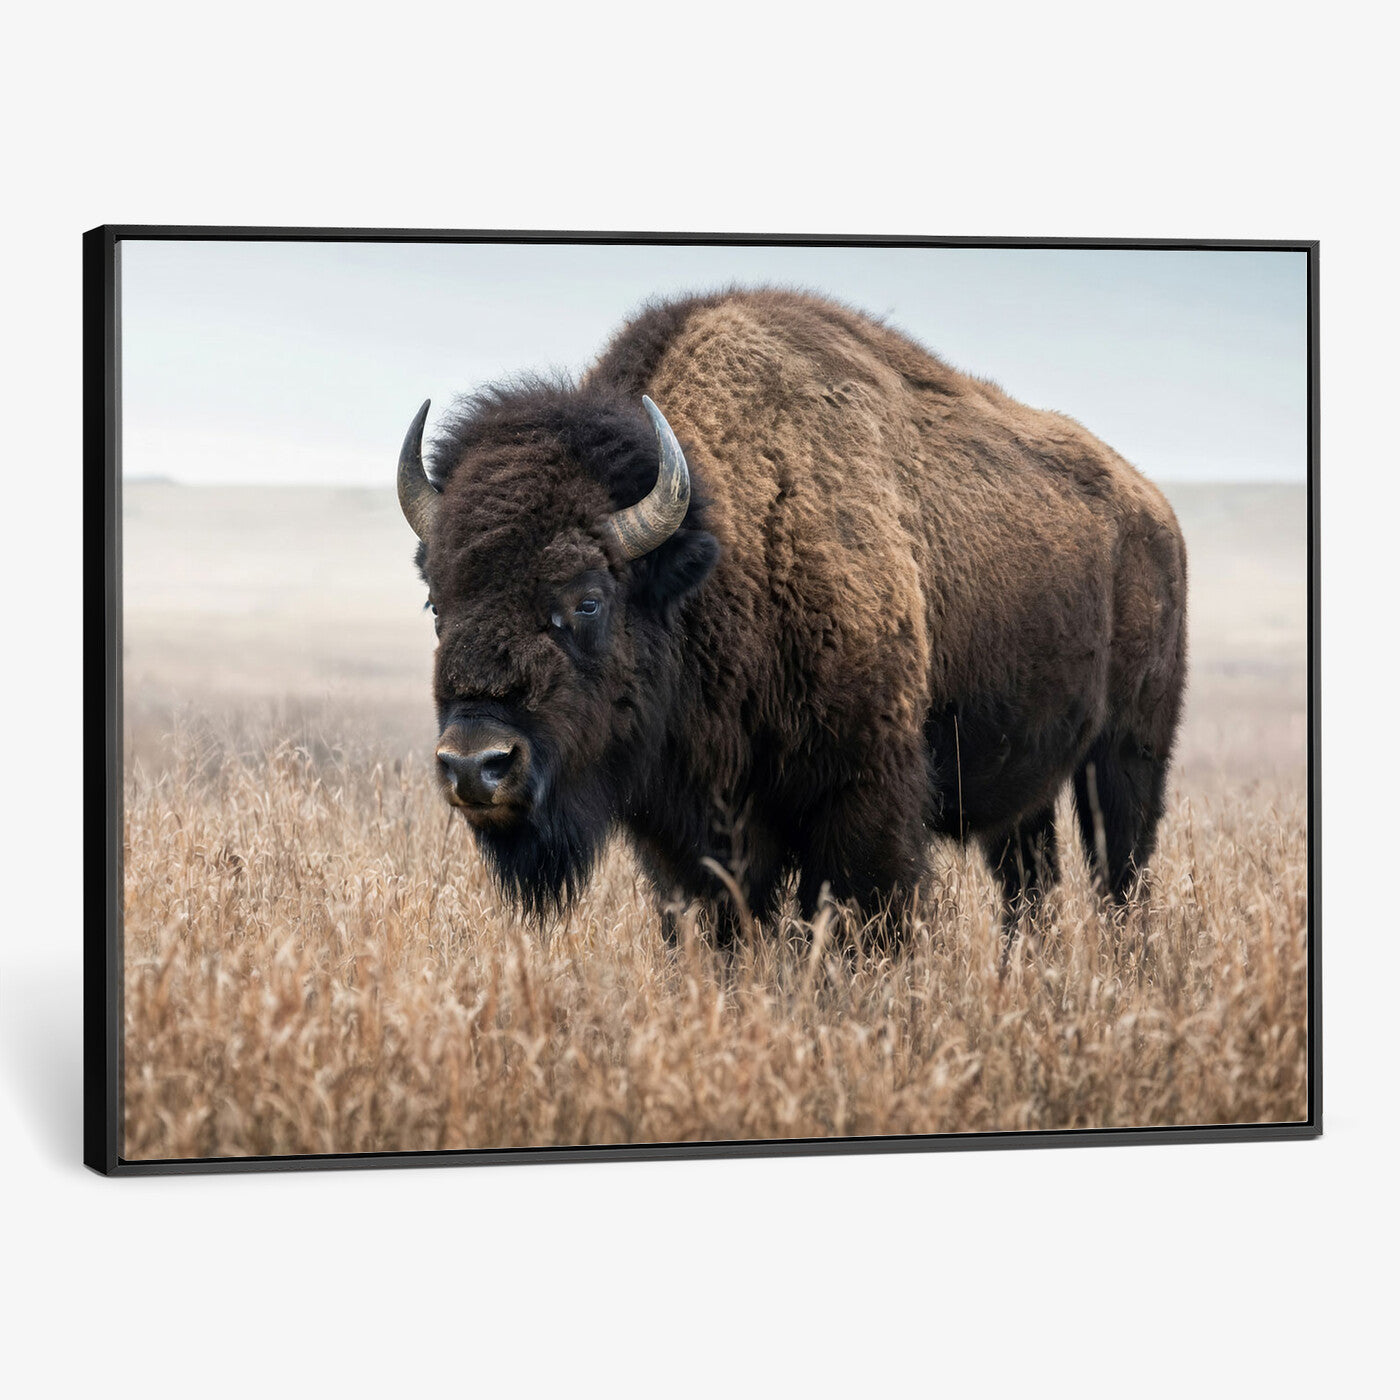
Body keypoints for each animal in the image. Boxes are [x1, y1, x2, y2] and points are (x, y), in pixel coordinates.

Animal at [397, 289, 1187, 941]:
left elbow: (863, 925)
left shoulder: (863, 804)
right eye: (437, 599)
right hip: (1027, 786)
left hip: (1128, 753)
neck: (724, 548)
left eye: (587, 599)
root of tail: (1154, 511)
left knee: (1121, 878)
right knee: (1031, 885)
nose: (475, 764)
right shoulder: (688, 836)